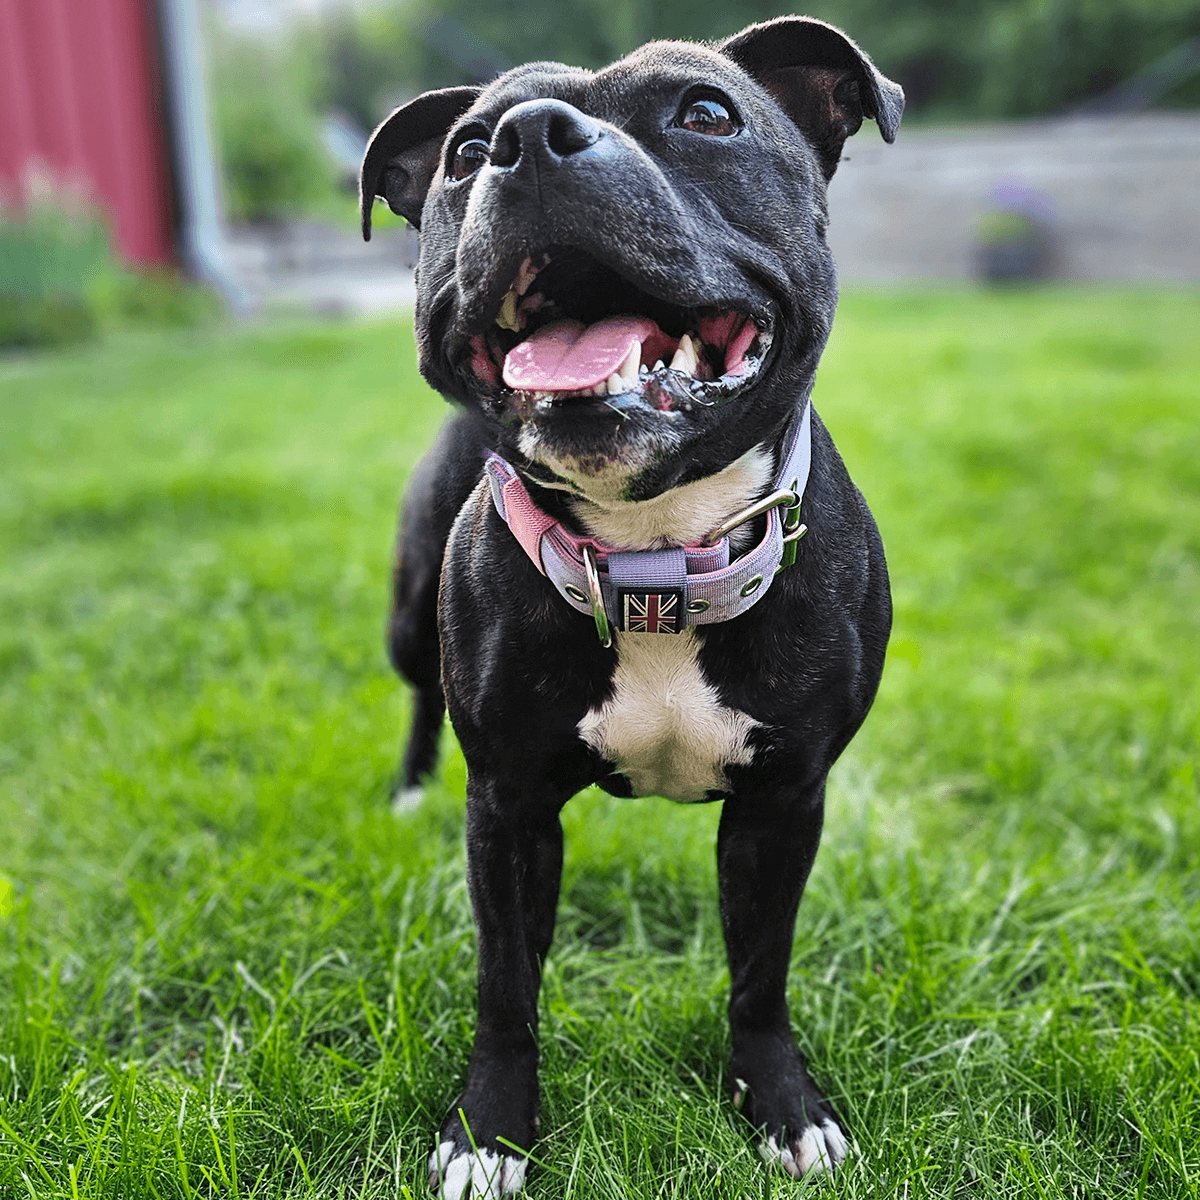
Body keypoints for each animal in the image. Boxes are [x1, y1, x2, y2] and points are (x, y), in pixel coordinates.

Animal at [360, 14, 902, 1195]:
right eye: (464, 154)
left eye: (707, 113)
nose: (528, 138)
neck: (650, 557)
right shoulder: (507, 806)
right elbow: (506, 986)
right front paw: (488, 1134)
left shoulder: (784, 802)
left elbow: (760, 975)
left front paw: (782, 1105)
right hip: (408, 619)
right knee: (417, 697)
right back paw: (408, 789)